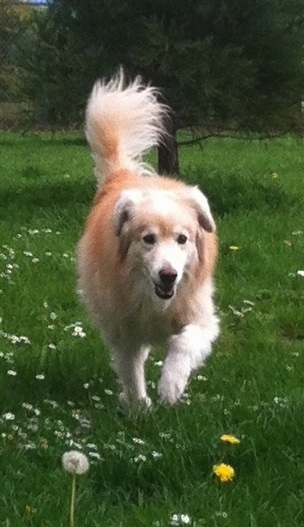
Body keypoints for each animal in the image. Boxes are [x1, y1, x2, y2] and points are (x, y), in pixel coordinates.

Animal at [77, 71, 220, 408]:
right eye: (148, 239)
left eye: (182, 239)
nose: (168, 275)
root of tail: (122, 177)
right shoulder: (123, 330)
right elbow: (130, 369)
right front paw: (139, 406)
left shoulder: (201, 319)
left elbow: (183, 344)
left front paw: (171, 385)